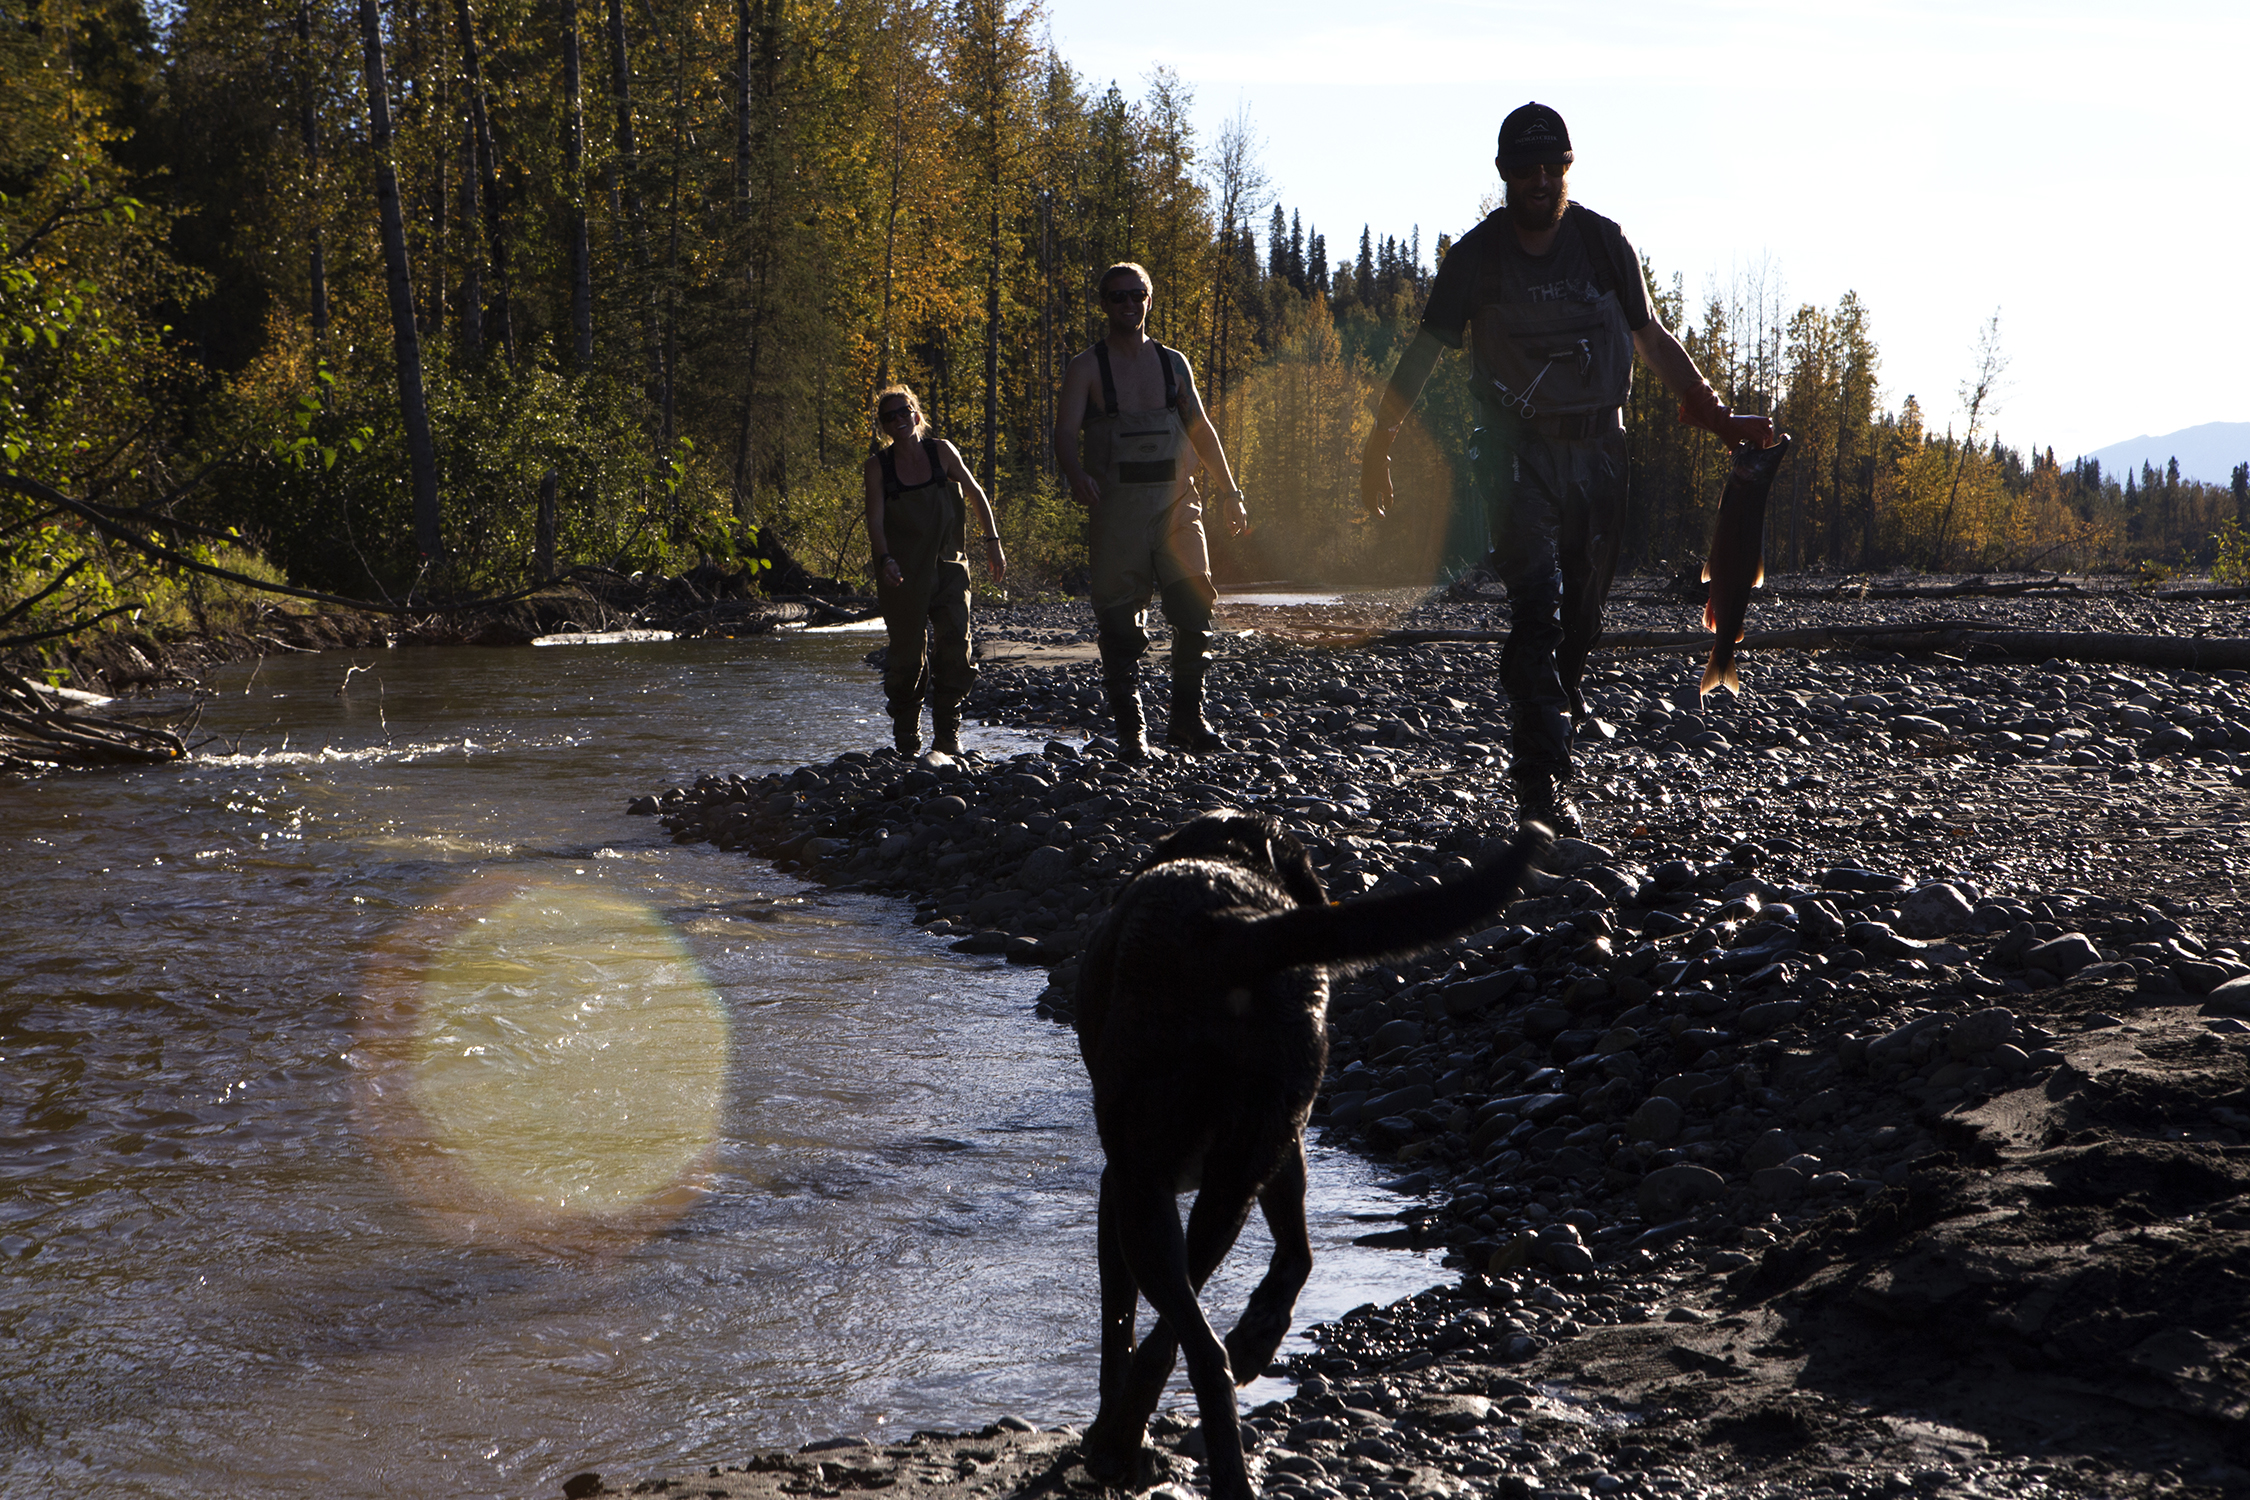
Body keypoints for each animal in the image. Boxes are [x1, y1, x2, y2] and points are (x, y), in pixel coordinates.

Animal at [1071, 814, 1548, 1493]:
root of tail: (1233, 932)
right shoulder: (1276, 1153)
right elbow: (1293, 1250)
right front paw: (1256, 1333)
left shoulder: (1118, 1187)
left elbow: (1118, 1323)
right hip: (1246, 1160)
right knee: (1211, 1323)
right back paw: (1227, 1383)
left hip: (1144, 1185)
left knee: (1189, 1339)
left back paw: (1122, 1444)